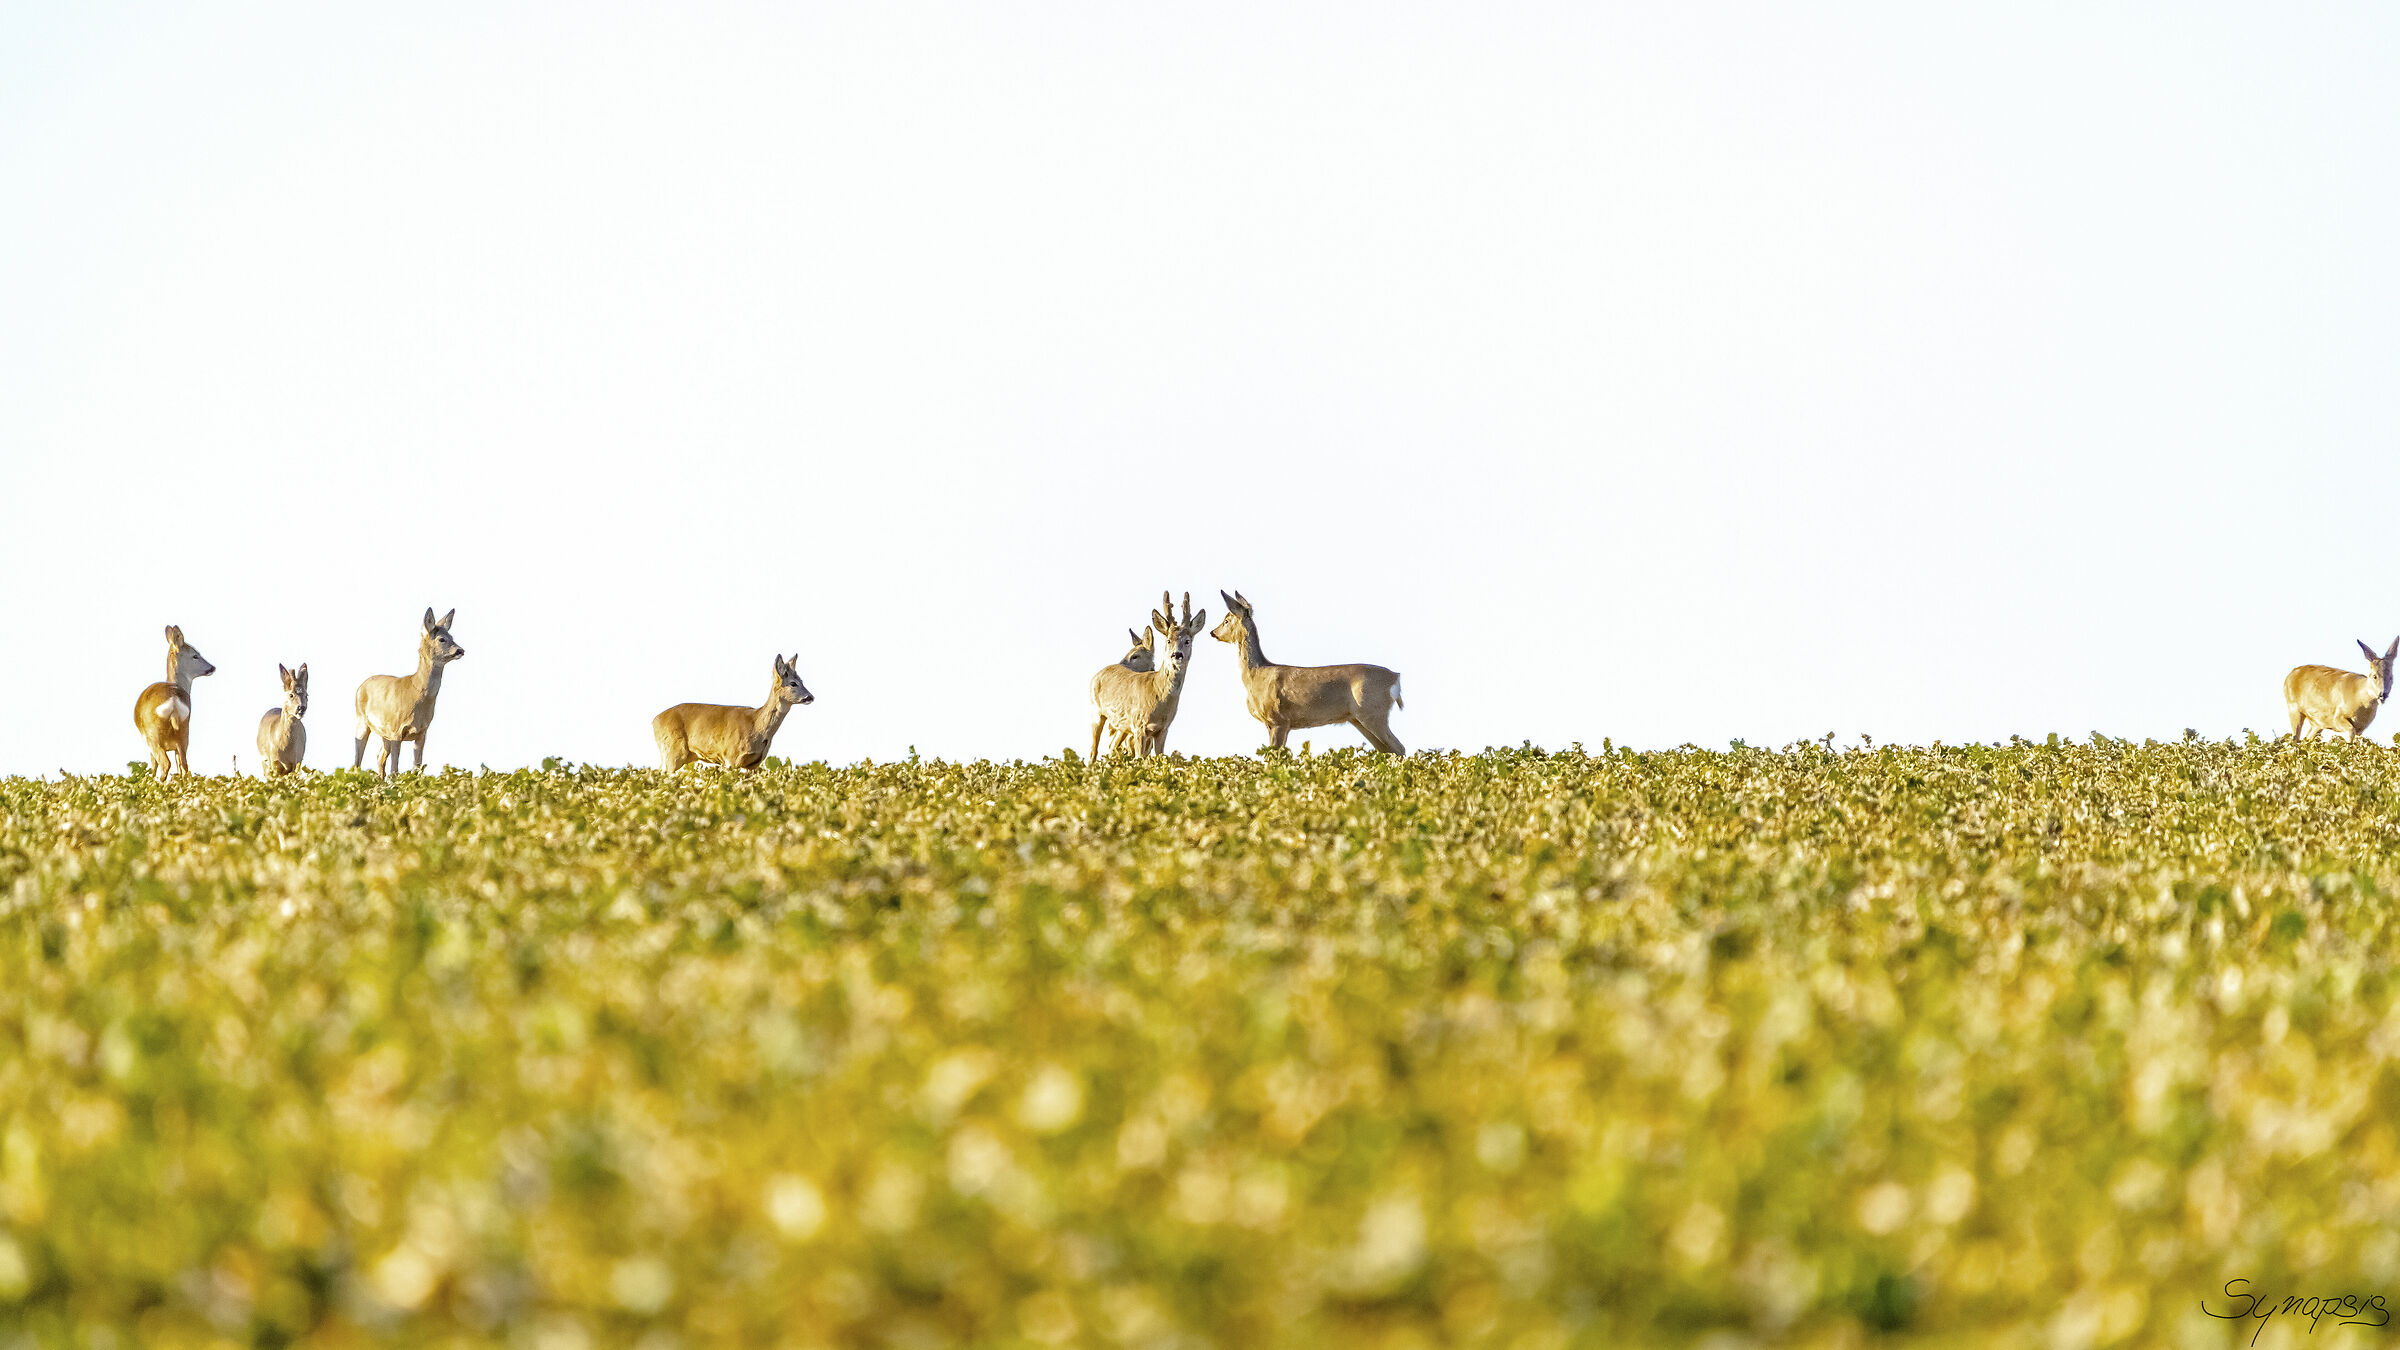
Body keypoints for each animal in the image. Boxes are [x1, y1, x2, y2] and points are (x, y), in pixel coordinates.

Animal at [134, 626, 217, 778]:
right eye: (195, 655)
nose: (212, 667)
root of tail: (173, 702)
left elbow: (152, 766)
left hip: (153, 735)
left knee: (165, 763)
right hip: (184, 732)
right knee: (184, 765)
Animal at [354, 608, 466, 777]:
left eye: (452, 637)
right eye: (442, 639)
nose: (460, 650)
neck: (416, 696)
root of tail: (361, 686)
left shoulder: (422, 732)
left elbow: (417, 768)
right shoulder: (396, 731)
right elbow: (395, 770)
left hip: (384, 734)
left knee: (380, 757)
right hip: (361, 721)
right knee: (357, 761)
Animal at [653, 653, 815, 770]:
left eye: (802, 680)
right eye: (793, 683)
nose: (810, 697)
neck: (756, 726)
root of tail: (654, 721)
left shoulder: (754, 764)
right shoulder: (730, 757)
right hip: (672, 751)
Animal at [1089, 592, 1208, 758]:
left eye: (1187, 641)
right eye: (1168, 640)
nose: (1177, 655)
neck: (1157, 693)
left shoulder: (1163, 729)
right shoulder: (1139, 726)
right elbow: (1139, 759)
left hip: (1121, 726)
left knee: (1111, 746)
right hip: (1096, 712)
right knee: (1093, 750)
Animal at [1212, 590, 1404, 754]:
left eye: (1226, 620)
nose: (1213, 632)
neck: (1257, 676)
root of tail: (1396, 678)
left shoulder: (1278, 720)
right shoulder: (1279, 724)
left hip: (1373, 711)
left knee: (1398, 747)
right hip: (1358, 718)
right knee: (1388, 750)